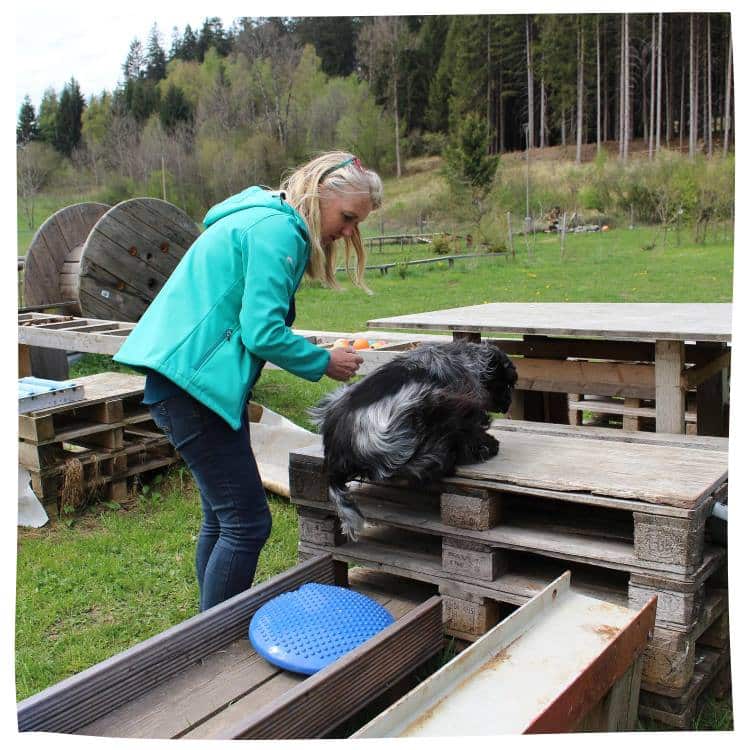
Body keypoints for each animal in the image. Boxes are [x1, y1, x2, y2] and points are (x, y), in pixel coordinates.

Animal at [310, 344, 516, 544]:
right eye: (506, 384)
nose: (507, 405)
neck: (465, 360)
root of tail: (336, 451)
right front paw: (486, 443)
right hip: (424, 402)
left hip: (337, 396)